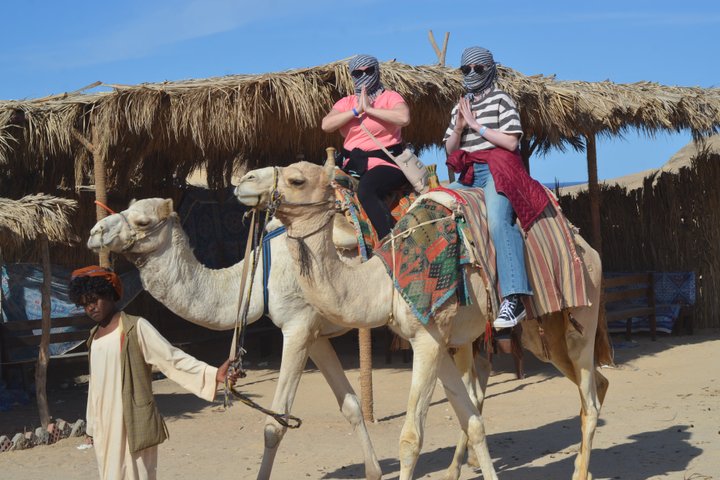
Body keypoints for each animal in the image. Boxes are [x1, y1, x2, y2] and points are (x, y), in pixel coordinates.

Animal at [86, 198, 382, 480]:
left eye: (143, 221)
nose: (95, 231)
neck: (261, 274)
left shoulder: (298, 326)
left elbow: (275, 425)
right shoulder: (314, 334)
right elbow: (350, 404)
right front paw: (374, 472)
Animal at [234, 158, 612, 480]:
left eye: (297, 179)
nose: (244, 181)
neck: (384, 284)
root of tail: (589, 248)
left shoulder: (427, 340)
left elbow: (411, 438)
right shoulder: (439, 342)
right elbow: (473, 422)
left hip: (582, 316)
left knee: (590, 401)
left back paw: (580, 473)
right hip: (541, 333)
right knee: (595, 384)